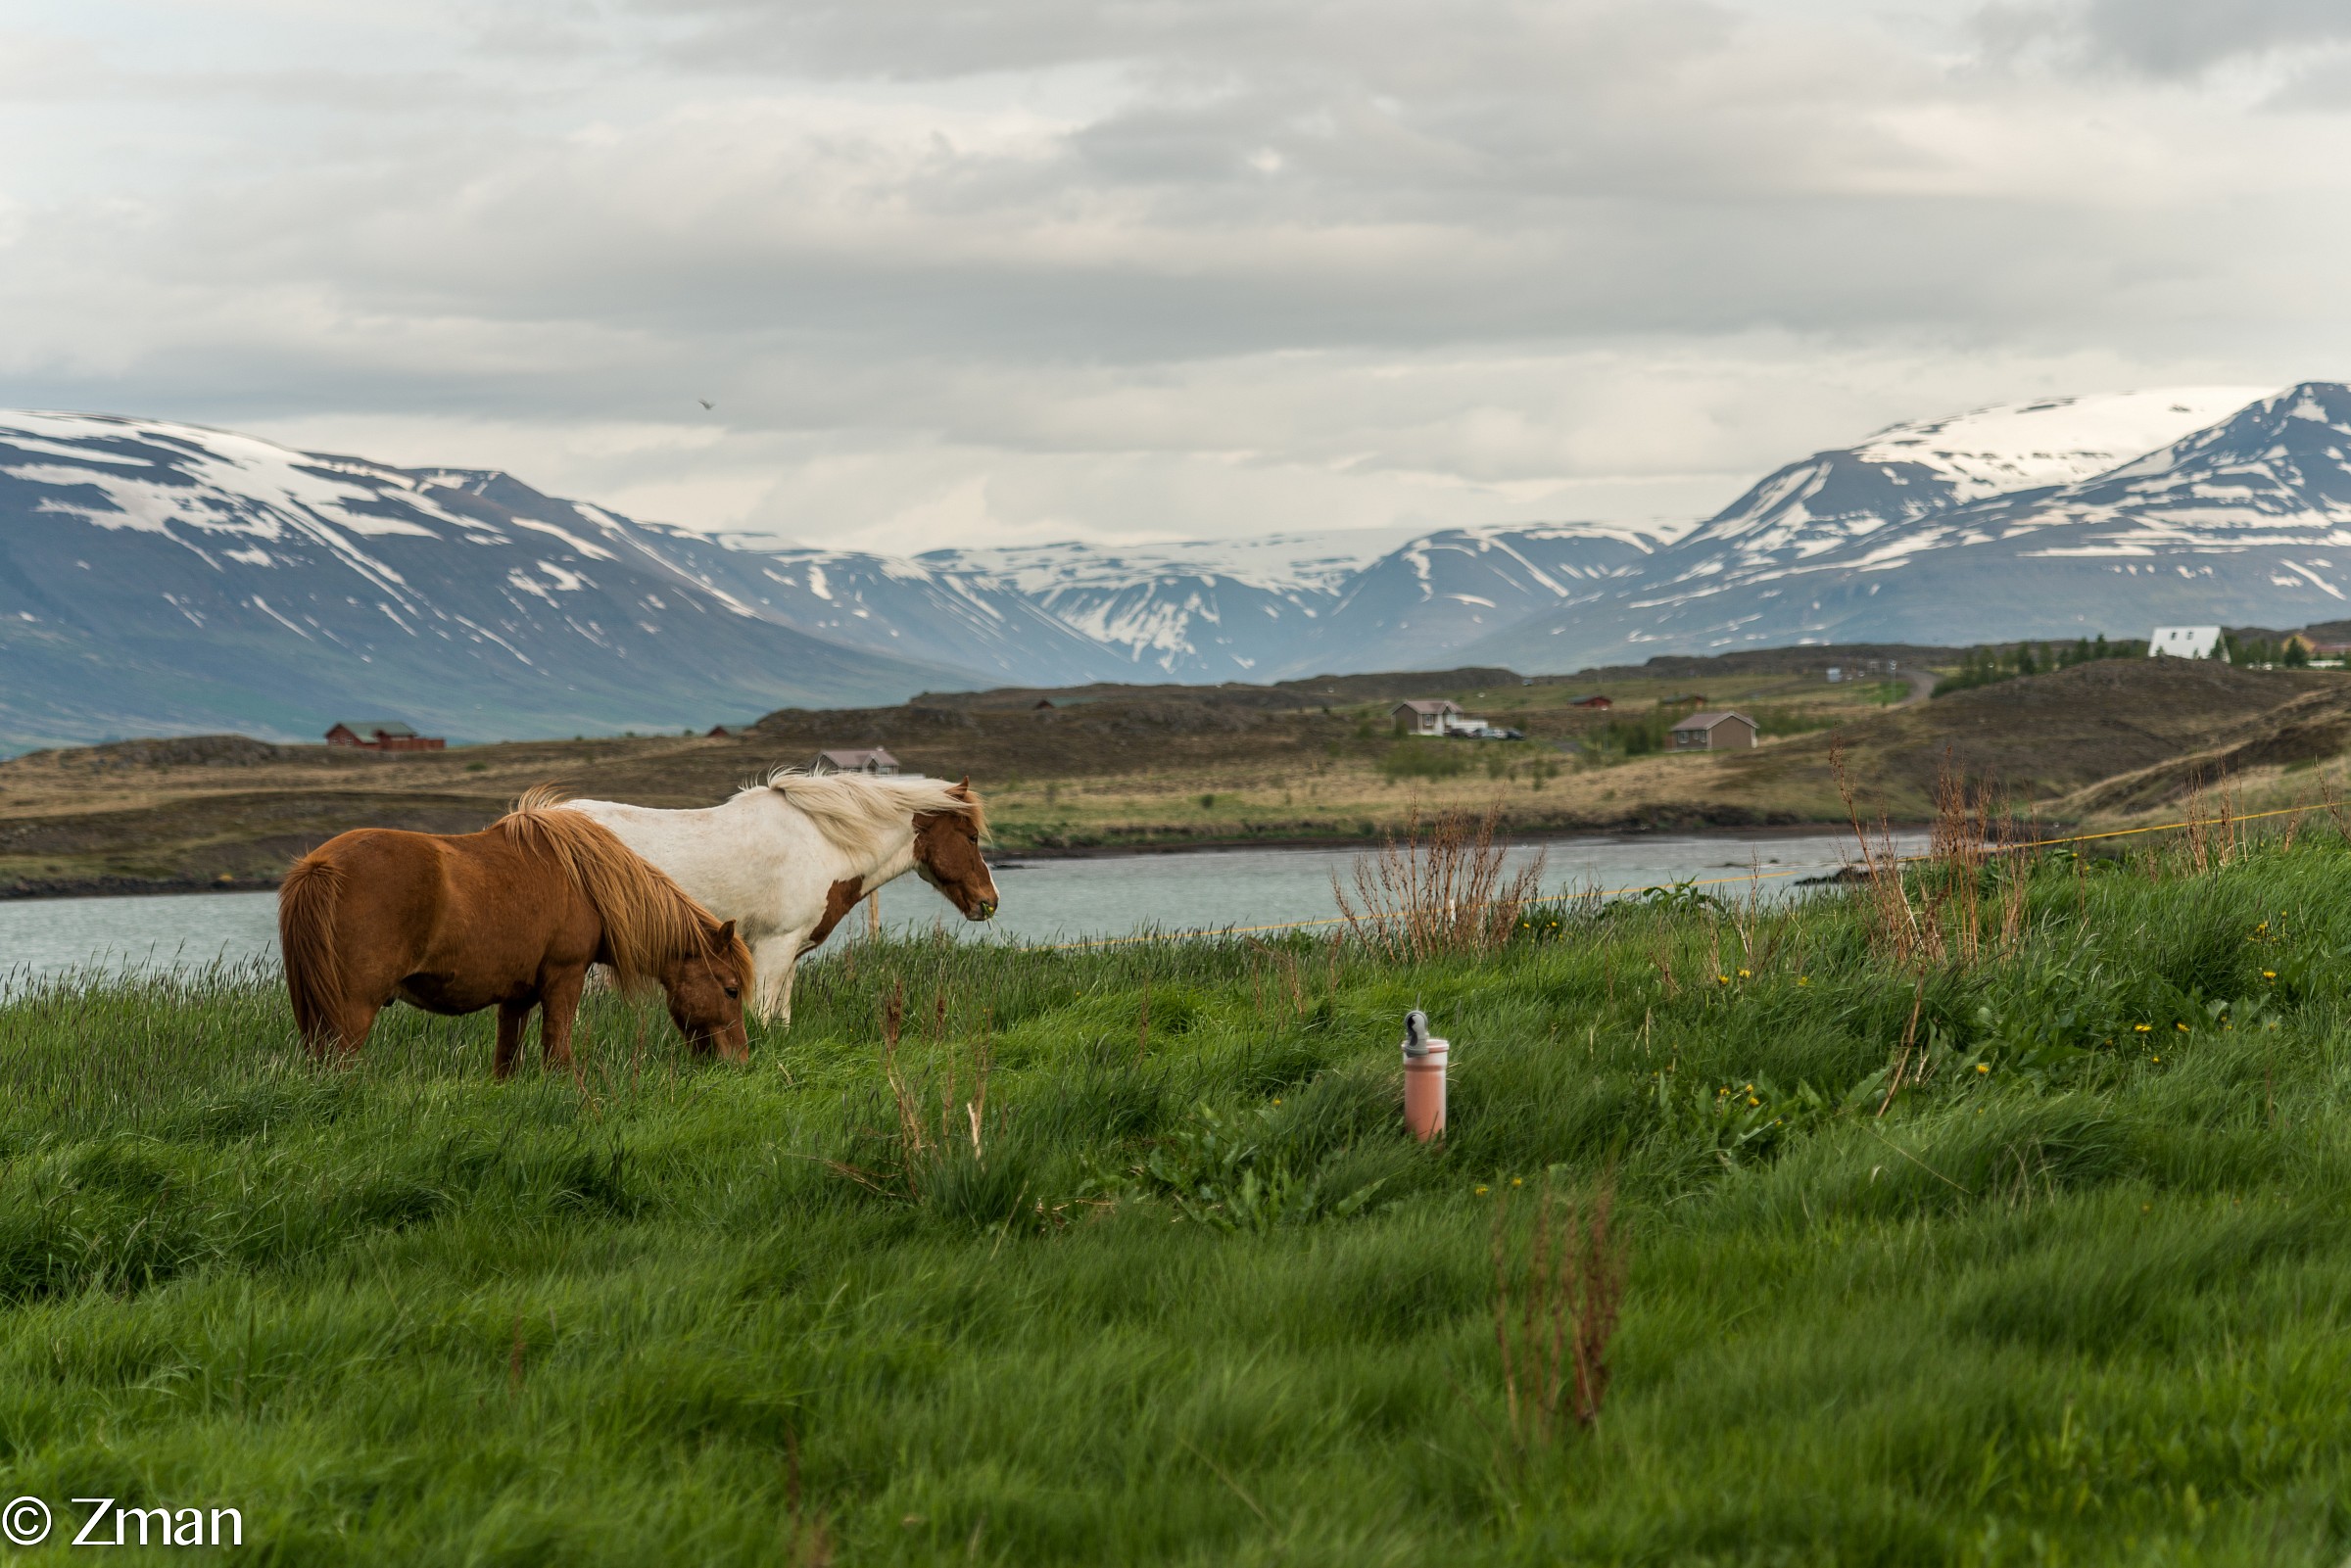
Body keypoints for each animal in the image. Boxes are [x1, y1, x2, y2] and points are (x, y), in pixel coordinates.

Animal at [278, 786, 753, 1074]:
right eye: (731, 989)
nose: (741, 1060)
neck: (585, 882)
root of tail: (320, 866)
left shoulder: (516, 997)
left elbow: (506, 1061)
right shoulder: (564, 979)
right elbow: (557, 1051)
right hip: (352, 1012)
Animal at [560, 770, 996, 1025]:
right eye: (971, 837)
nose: (989, 902)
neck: (822, 843)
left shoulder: (789, 954)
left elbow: (780, 1018)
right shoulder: (773, 947)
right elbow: (764, 1016)